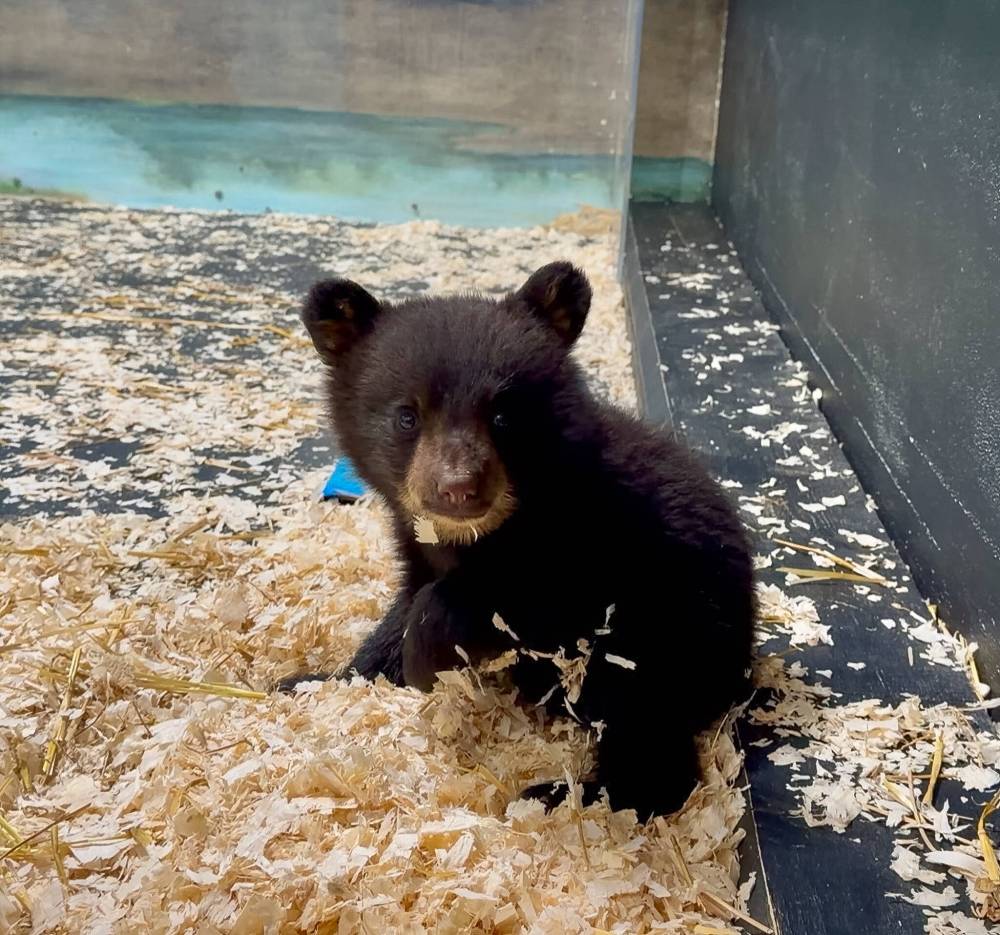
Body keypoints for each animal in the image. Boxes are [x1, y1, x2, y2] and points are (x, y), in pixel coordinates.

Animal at [284, 261, 755, 819]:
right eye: (407, 415)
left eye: (503, 414)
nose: (459, 487)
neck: (482, 535)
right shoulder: (415, 540)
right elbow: (400, 610)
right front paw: (311, 680)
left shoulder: (598, 541)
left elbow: (523, 602)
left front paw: (426, 656)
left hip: (666, 637)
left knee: (646, 733)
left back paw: (561, 793)